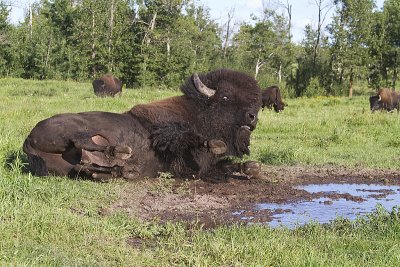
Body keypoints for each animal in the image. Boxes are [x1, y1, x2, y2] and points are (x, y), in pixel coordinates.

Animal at [23, 69, 264, 182]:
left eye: (255, 102)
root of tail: (28, 139)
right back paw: (120, 153)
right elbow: (184, 138)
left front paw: (252, 168)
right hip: (72, 131)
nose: (252, 117)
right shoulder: (177, 152)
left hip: (68, 167)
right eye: (225, 97)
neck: (200, 112)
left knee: (84, 167)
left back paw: (123, 170)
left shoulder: (207, 167)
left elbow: (230, 165)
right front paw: (213, 144)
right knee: (84, 141)